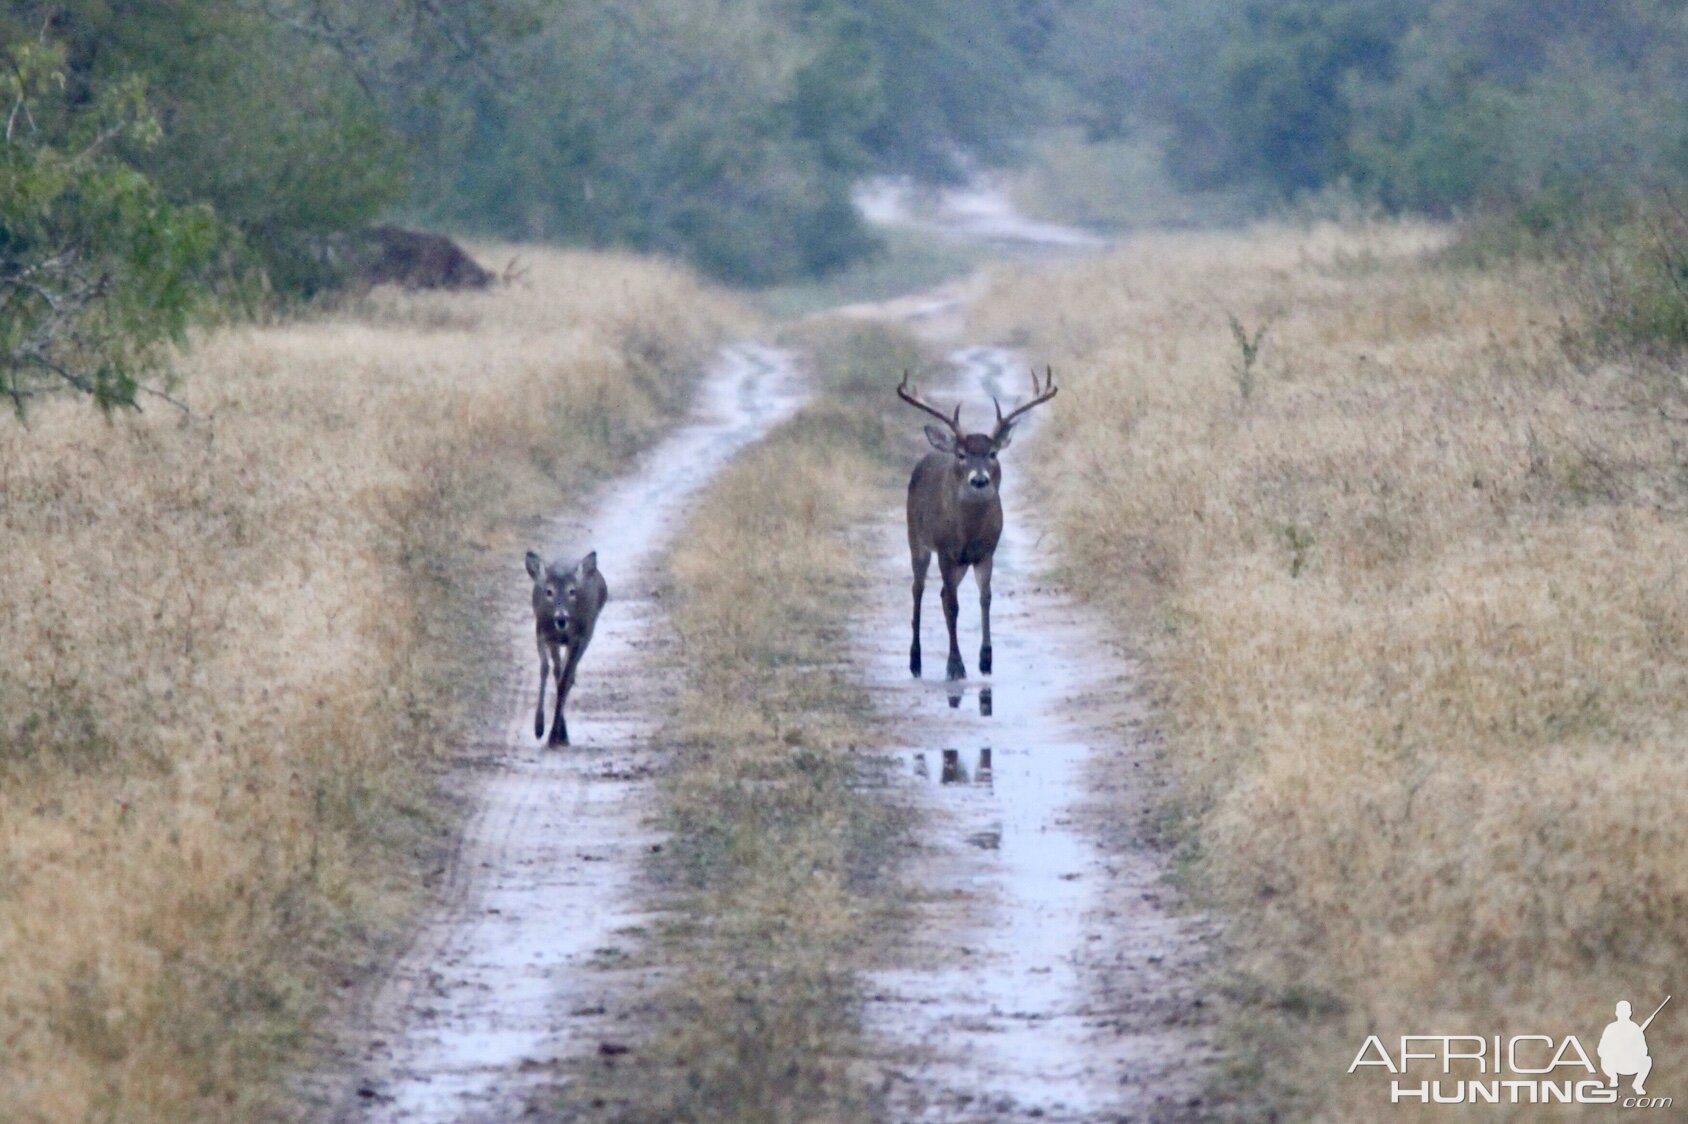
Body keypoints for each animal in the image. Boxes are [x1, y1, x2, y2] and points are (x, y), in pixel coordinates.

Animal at [526, 543, 614, 739]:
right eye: (549, 591)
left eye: (572, 591)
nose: (561, 618)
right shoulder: (543, 633)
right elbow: (546, 669)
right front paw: (538, 727)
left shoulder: (578, 637)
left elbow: (565, 680)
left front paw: (553, 734)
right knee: (558, 670)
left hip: (588, 633)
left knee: (569, 674)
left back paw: (560, 731)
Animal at [898, 367, 1053, 678]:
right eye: (961, 455)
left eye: (992, 453)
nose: (979, 480)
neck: (967, 533)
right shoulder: (945, 551)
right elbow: (953, 606)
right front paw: (955, 665)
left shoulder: (986, 552)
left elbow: (985, 598)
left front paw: (986, 660)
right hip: (916, 537)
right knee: (919, 590)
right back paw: (915, 660)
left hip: (960, 562)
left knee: (943, 592)